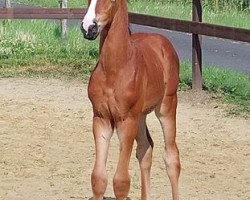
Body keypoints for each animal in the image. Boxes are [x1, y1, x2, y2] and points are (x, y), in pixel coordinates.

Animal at [81, 0, 181, 198]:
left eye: (111, 1)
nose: (89, 27)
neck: (115, 69)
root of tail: (163, 42)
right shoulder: (101, 119)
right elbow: (98, 179)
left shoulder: (126, 122)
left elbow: (121, 182)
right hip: (140, 116)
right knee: (145, 149)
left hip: (166, 107)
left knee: (172, 157)